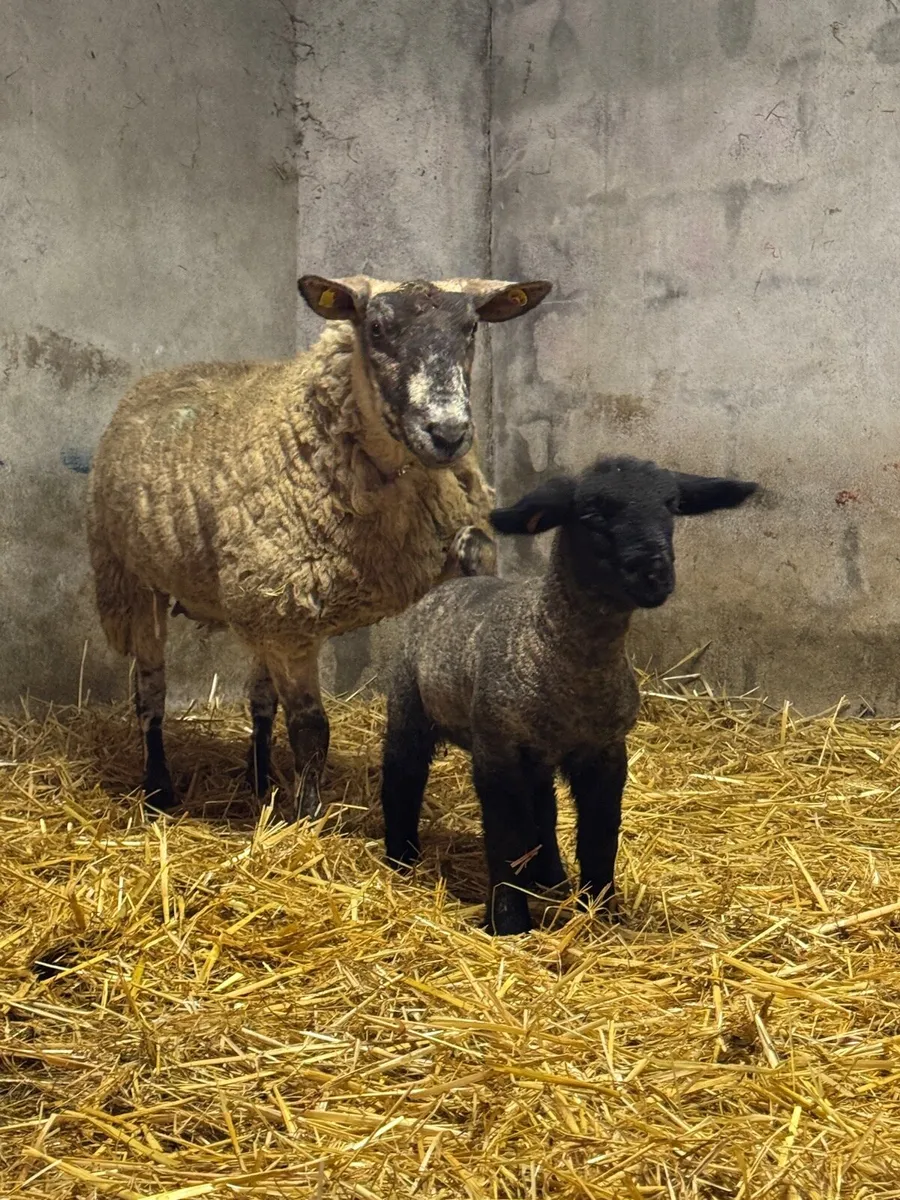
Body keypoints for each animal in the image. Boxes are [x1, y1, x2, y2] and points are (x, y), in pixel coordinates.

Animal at [87, 272, 551, 818]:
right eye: (376, 328)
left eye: (471, 328)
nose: (449, 433)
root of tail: (166, 375)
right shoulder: (287, 616)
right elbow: (311, 728)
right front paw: (307, 815)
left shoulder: (281, 603)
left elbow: (477, 555)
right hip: (137, 582)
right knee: (150, 693)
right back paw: (159, 788)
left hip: (254, 599)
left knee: (258, 697)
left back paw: (259, 778)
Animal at [379, 455, 759, 935]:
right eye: (593, 513)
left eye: (672, 505)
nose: (656, 575)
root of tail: (458, 581)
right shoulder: (496, 751)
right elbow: (505, 837)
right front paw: (509, 921)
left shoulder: (605, 751)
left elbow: (599, 835)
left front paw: (602, 910)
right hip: (409, 702)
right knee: (402, 775)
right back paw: (401, 860)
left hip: (538, 754)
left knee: (542, 806)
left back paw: (551, 878)